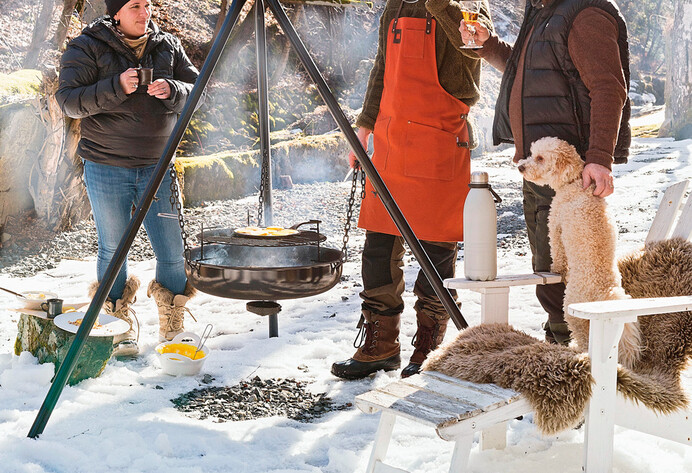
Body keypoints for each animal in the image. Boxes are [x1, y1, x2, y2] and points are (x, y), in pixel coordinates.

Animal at [516, 135, 640, 366]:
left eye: (539, 158)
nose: (520, 166)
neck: (573, 183)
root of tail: (604, 293)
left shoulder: (555, 224)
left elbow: (557, 252)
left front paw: (557, 269)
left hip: (572, 311)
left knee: (582, 337)